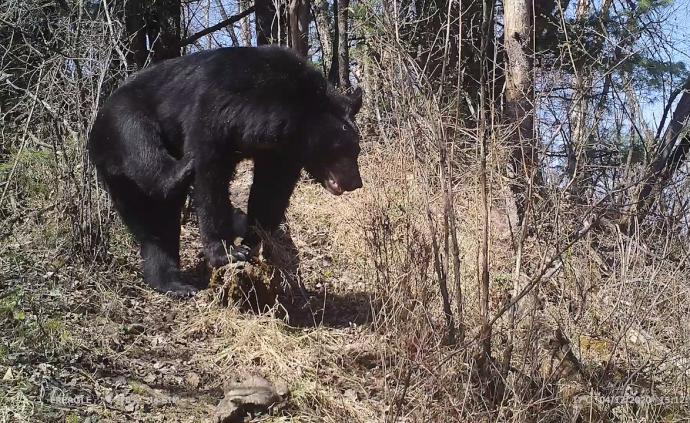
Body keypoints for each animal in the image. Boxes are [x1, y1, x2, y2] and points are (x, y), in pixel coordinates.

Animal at [88, 46, 362, 296]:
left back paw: (174, 284)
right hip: (122, 121)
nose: (355, 182)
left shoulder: (281, 151)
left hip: (124, 185)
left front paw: (254, 239)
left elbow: (271, 189)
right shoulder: (216, 110)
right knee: (143, 148)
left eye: (356, 149)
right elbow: (211, 177)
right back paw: (183, 169)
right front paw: (229, 251)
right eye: (341, 148)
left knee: (156, 223)